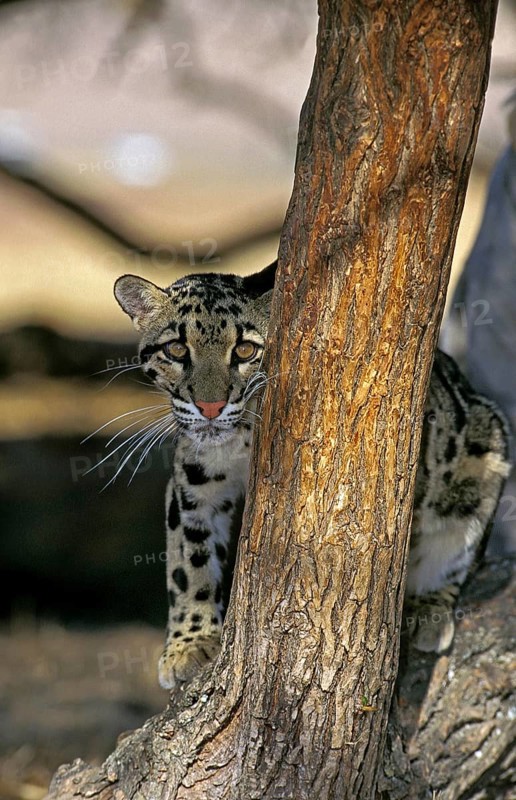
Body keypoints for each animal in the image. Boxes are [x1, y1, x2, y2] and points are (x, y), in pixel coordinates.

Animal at [114, 260, 511, 689]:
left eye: (245, 349)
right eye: (176, 348)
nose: (210, 407)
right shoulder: (193, 480)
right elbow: (188, 559)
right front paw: (188, 643)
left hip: (487, 449)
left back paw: (427, 612)